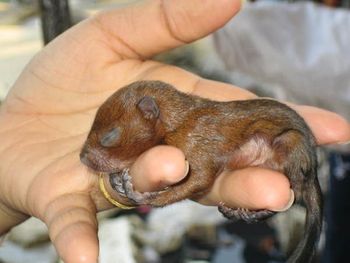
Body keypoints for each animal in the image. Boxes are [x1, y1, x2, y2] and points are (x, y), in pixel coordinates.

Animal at [80, 81, 322, 263]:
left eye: (109, 136)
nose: (81, 158)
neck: (177, 121)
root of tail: (314, 168)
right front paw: (118, 179)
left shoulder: (196, 146)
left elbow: (198, 180)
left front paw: (139, 195)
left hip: (291, 142)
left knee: (292, 195)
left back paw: (251, 213)